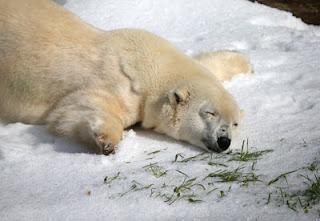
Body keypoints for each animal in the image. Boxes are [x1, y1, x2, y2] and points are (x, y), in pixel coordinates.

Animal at [0, 0, 252, 155]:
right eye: (209, 113)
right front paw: (107, 141)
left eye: (235, 123)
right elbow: (73, 110)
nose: (224, 141)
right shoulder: (122, 84)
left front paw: (245, 62)